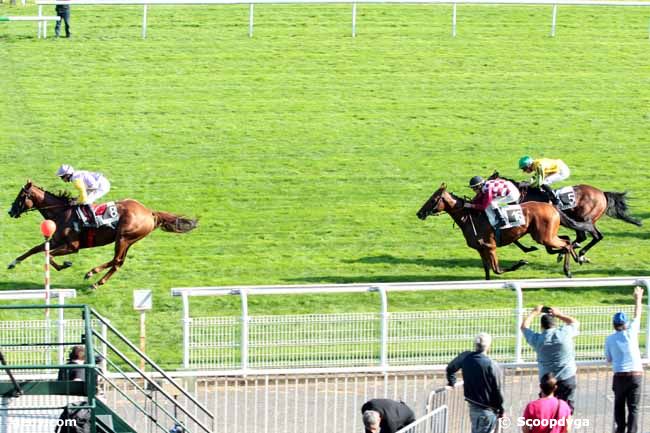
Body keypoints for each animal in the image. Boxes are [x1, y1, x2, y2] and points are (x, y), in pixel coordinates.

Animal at [7, 181, 196, 288]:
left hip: (123, 237)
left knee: (117, 261)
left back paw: (94, 278)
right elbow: (34, 250)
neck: (62, 213)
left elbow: (50, 256)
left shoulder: (72, 247)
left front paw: (65, 264)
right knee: (118, 262)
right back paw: (95, 277)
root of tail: (150, 212)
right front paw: (13, 263)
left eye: (21, 196)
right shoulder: (54, 241)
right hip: (129, 240)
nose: (10, 211)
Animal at [416, 181, 588, 276]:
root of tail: (551, 206)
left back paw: (568, 269)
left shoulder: (490, 246)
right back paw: (577, 257)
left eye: (433, 199)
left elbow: (497, 269)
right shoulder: (480, 249)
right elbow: (487, 270)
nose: (419, 213)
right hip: (546, 235)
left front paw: (522, 262)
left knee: (565, 244)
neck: (469, 218)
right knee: (567, 240)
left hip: (544, 236)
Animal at [488, 172, 640, 260]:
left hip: (585, 218)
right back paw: (572, 251)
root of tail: (602, 193)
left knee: (595, 236)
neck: (522, 194)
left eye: (488, 183)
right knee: (584, 237)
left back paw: (579, 253)